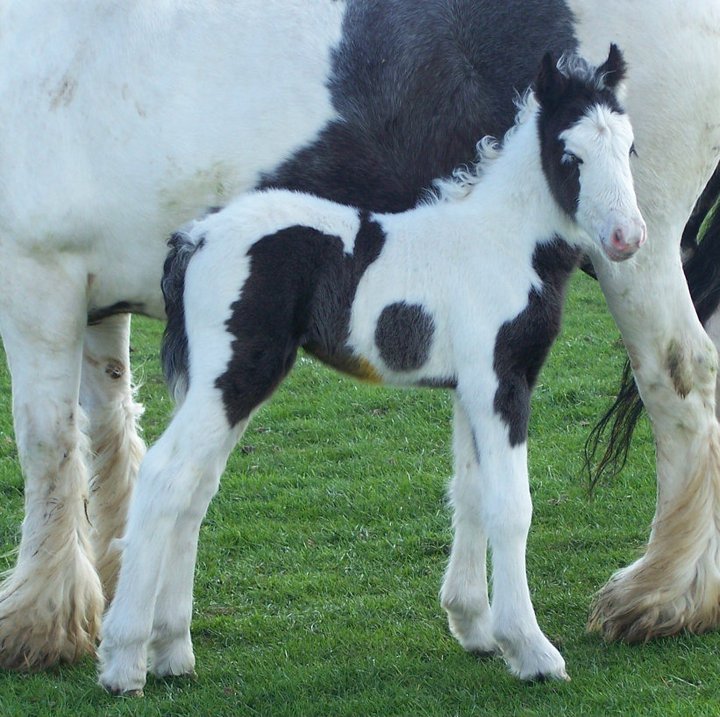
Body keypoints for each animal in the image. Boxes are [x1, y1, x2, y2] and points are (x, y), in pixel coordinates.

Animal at [0, 1, 716, 672]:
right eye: (570, 155)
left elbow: (53, 446)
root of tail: (197, 237)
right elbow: (91, 440)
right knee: (175, 480)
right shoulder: (78, 292)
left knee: (682, 382)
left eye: (628, 149)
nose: (624, 235)